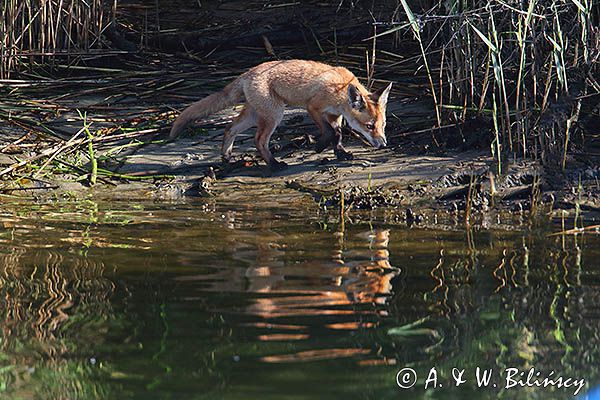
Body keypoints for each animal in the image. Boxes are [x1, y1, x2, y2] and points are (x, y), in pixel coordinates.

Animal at [170, 59, 394, 170]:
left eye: (383, 126)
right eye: (369, 126)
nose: (383, 144)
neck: (340, 90)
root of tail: (247, 73)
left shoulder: (335, 115)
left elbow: (338, 135)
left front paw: (340, 153)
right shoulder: (313, 107)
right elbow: (331, 133)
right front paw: (319, 147)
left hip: (255, 114)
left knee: (229, 128)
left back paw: (226, 157)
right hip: (274, 115)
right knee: (259, 140)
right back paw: (274, 164)